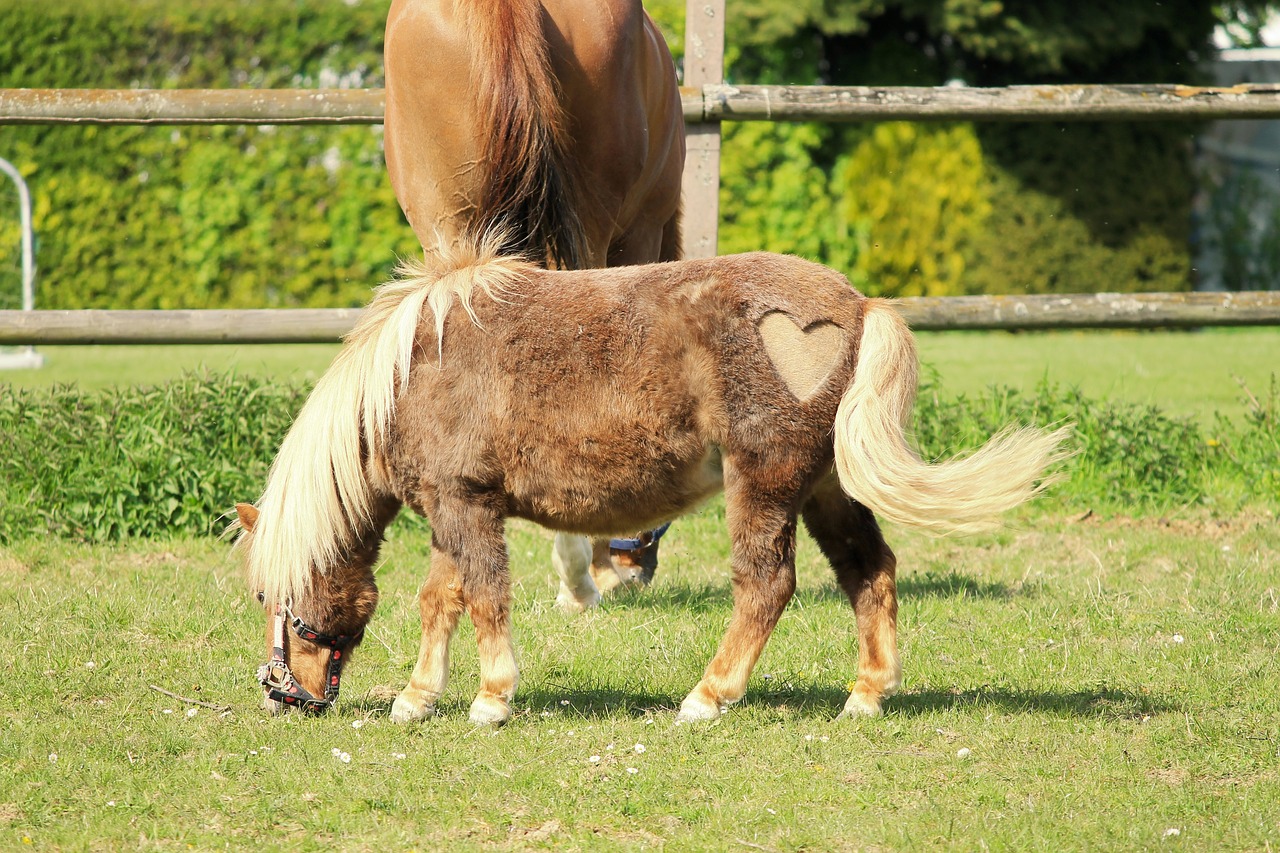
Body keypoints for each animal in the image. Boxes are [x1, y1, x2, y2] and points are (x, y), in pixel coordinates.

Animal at [232, 240, 1070, 722]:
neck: (408, 375)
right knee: (870, 571)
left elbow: (484, 597)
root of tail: (858, 306)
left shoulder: (465, 507)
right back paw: (865, 695)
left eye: (276, 595)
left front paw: (492, 698)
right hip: (827, 488)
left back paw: (708, 696)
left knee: (766, 584)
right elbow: (441, 600)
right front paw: (416, 697)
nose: (283, 693)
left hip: (764, 481)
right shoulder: (452, 509)